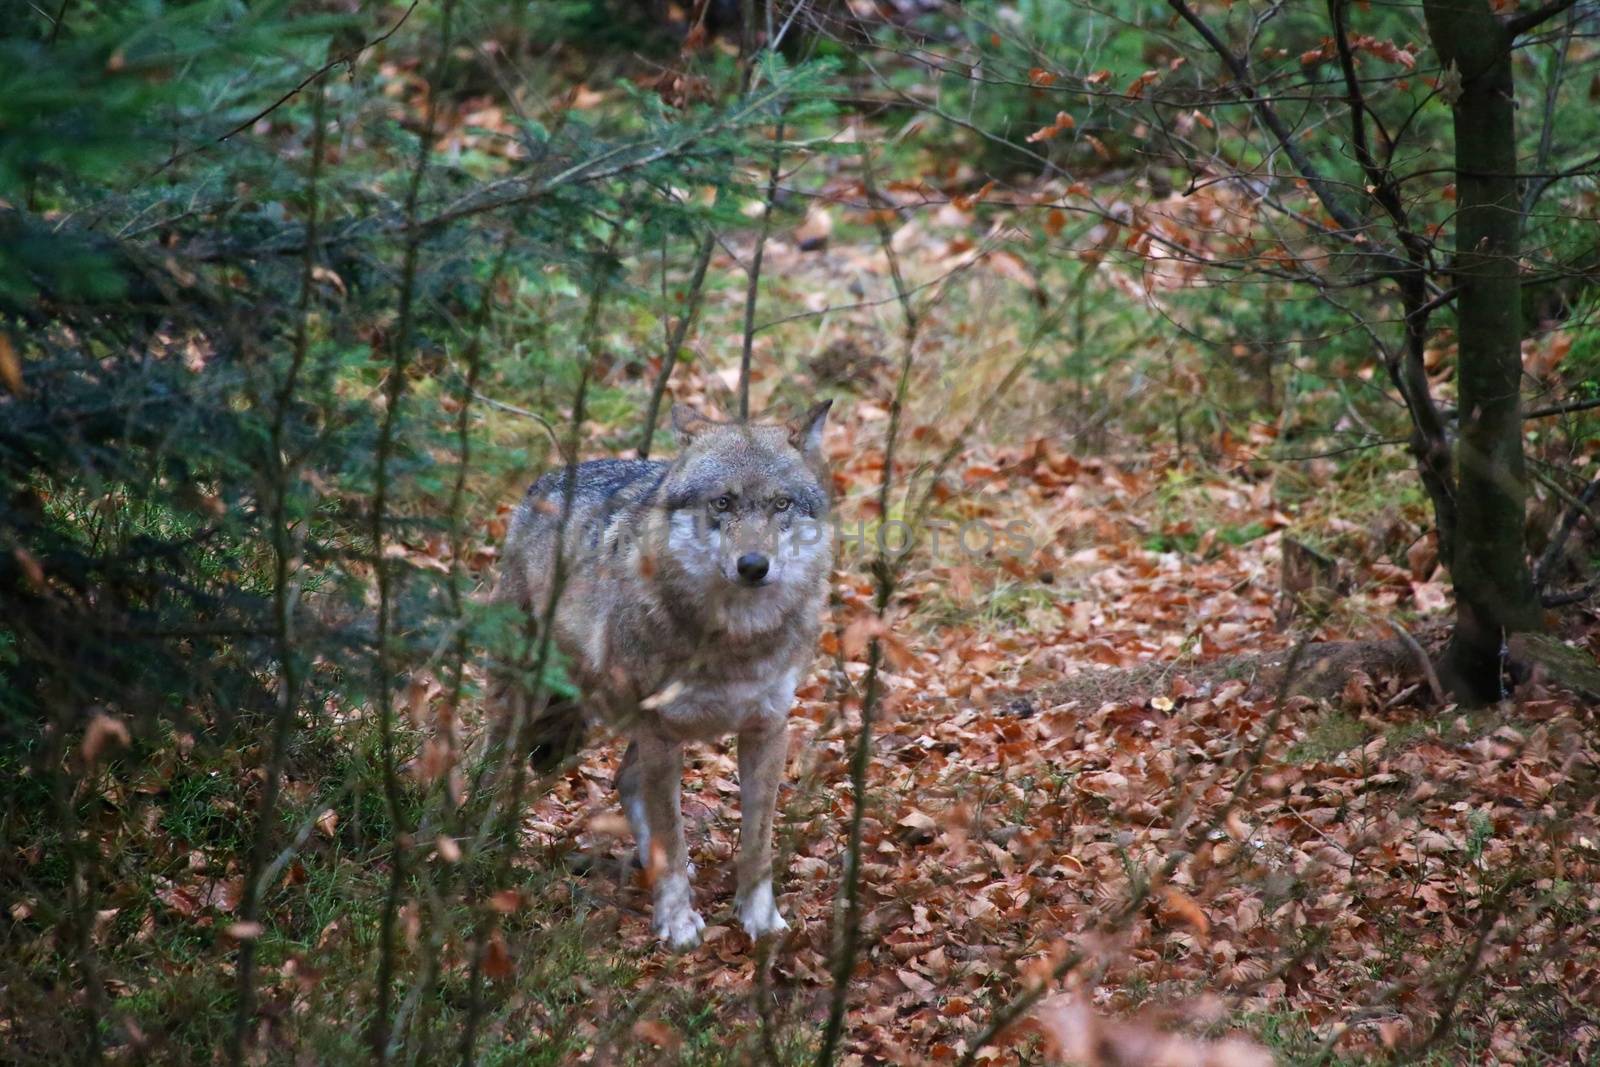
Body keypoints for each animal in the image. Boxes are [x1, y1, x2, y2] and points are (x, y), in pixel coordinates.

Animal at [492, 403, 832, 953]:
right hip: (520, 692)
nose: (753, 566)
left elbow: (757, 844)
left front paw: (761, 919)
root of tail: (545, 481)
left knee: (626, 778)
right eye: (722, 502)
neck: (734, 639)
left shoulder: (768, 729)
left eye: (781, 504)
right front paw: (676, 922)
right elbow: (672, 837)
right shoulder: (660, 730)